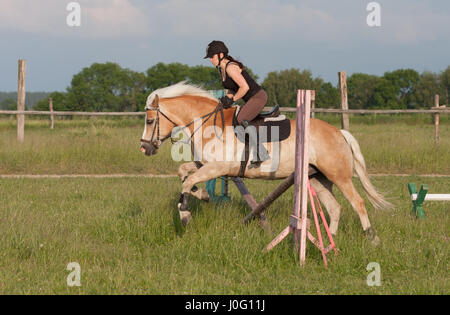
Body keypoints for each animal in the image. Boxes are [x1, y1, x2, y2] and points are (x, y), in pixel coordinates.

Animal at [139, 81, 392, 244]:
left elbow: (186, 181)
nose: (145, 148)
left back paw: (372, 238)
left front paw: (185, 215)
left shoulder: (217, 167)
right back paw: (330, 241)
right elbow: (184, 172)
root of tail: (339, 132)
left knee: (358, 202)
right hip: (317, 179)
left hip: (338, 176)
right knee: (335, 207)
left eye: (150, 121)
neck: (208, 123)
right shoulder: (206, 166)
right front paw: (202, 195)